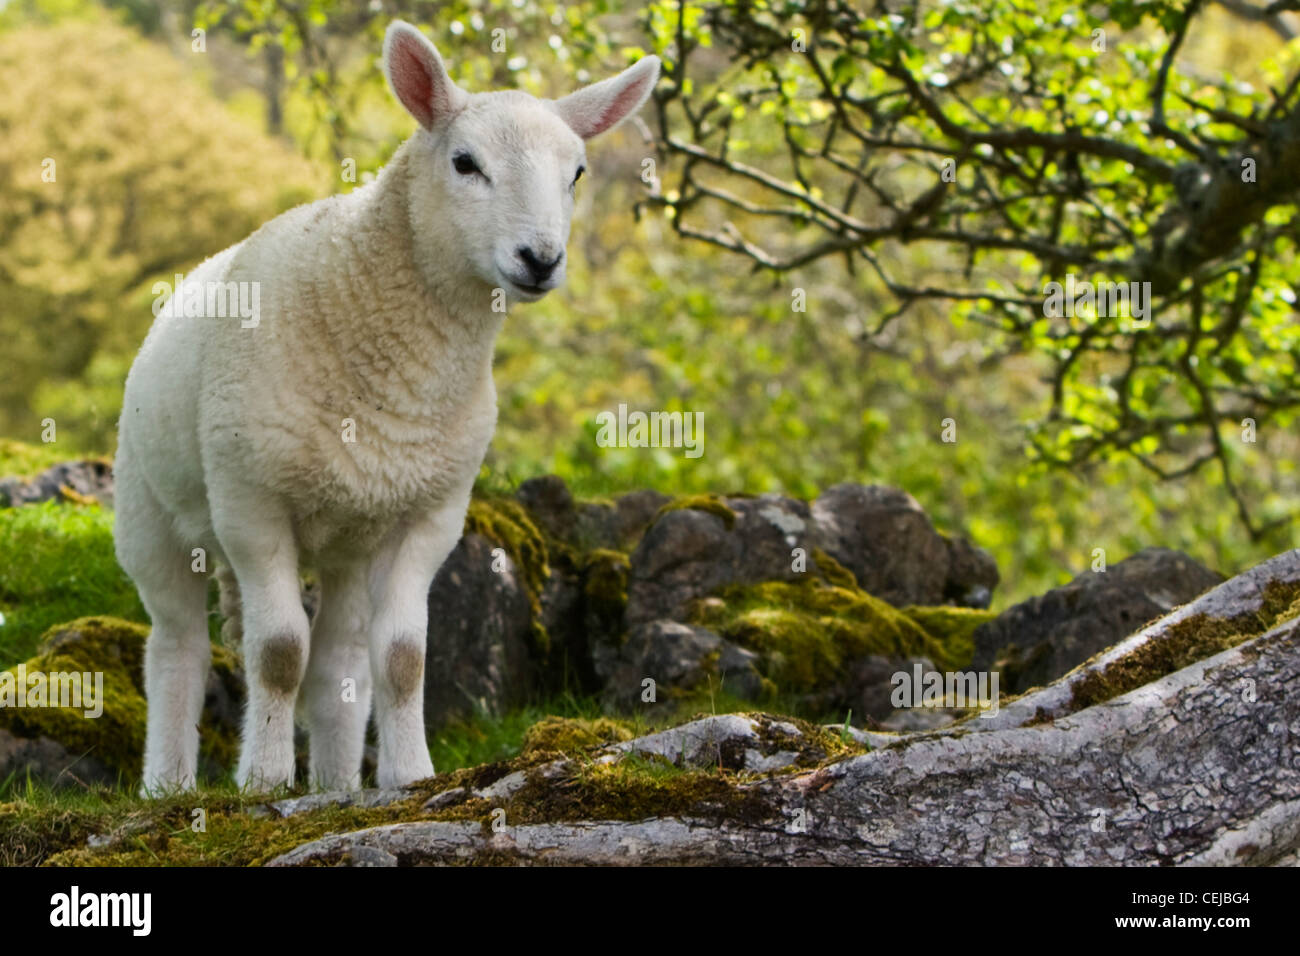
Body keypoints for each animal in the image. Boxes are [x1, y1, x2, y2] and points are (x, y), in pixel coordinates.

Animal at [113, 24, 660, 801]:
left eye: (578, 173)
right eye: (465, 163)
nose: (540, 258)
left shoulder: (429, 515)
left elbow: (401, 660)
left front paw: (411, 777)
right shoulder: (251, 502)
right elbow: (278, 652)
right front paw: (265, 780)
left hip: (351, 529)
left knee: (338, 661)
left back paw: (336, 784)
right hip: (151, 514)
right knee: (175, 646)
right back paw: (169, 786)